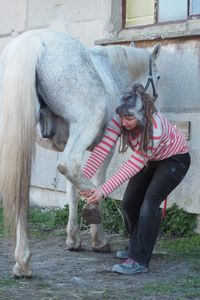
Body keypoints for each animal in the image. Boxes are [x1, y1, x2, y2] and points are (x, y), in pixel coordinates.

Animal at [0, 28, 161, 276]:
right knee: (70, 166)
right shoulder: (104, 146)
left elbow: (71, 192)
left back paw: (23, 261)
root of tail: (33, 42)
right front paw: (98, 238)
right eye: (158, 77)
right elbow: (94, 178)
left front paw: (73, 239)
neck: (110, 72)